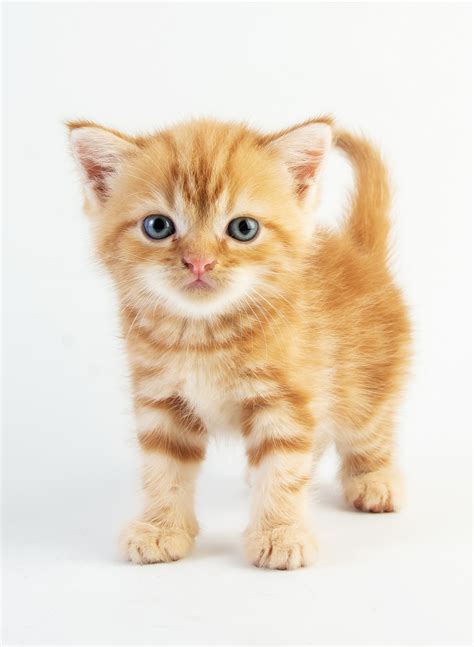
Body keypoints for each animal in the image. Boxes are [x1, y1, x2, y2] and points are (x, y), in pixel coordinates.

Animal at [69, 117, 412, 572]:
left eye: (243, 228)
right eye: (158, 226)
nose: (199, 262)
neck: (202, 334)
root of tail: (362, 254)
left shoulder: (285, 400)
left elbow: (283, 468)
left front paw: (280, 533)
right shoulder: (161, 400)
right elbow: (163, 470)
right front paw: (161, 528)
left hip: (364, 385)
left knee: (369, 431)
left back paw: (375, 480)